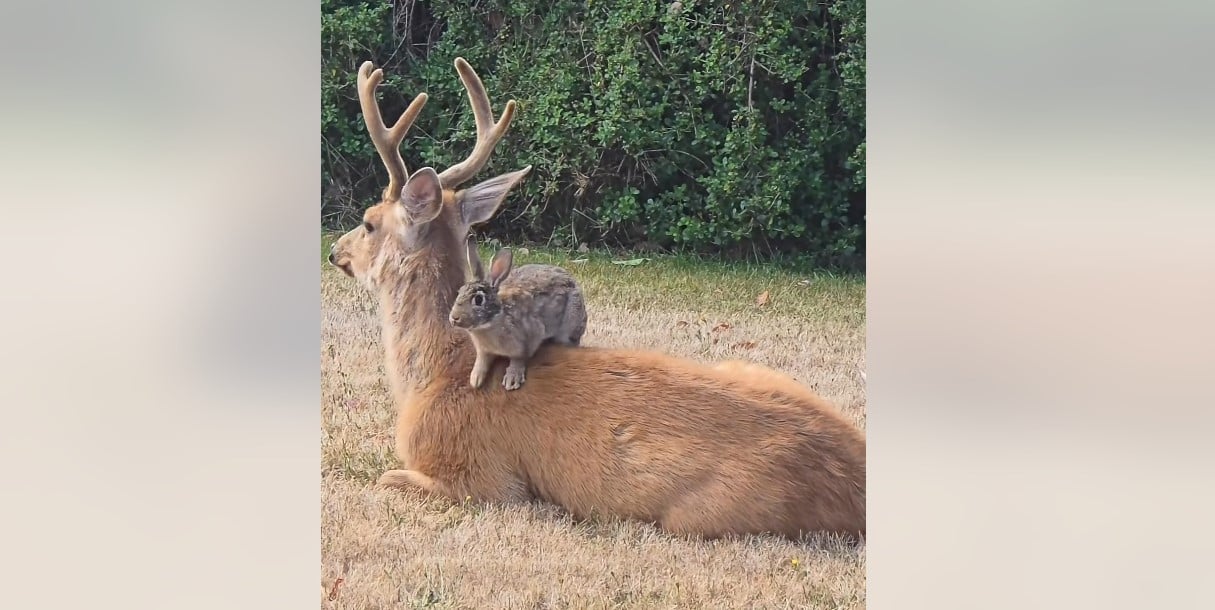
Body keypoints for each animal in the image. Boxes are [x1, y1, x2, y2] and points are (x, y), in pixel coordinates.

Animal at [449, 236, 588, 390]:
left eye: (479, 299)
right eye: (459, 292)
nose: (454, 318)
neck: (494, 320)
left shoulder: (530, 336)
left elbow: (519, 359)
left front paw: (512, 380)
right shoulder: (484, 350)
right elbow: (482, 361)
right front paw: (475, 380)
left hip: (570, 325)